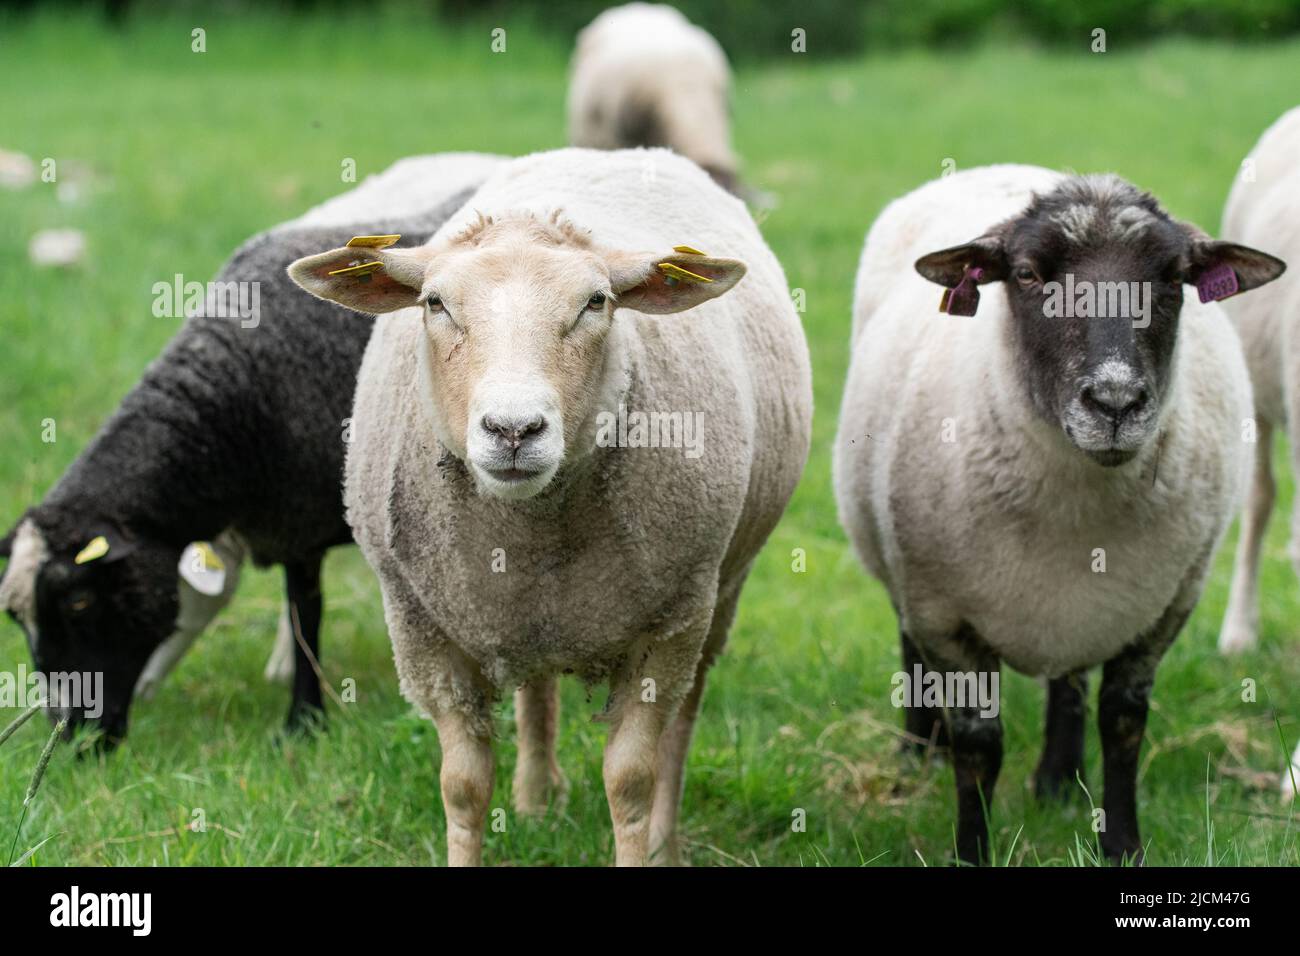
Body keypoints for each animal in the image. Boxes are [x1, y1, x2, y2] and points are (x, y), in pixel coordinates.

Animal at [0, 152, 506, 745]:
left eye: (79, 601)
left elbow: (305, 610)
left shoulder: (301, 524)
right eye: (17, 619)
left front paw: (303, 723)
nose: (70, 736)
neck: (239, 393)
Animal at [287, 146, 812, 865]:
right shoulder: (421, 630)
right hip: (525, 611)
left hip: (719, 591)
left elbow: (631, 780)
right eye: (434, 303)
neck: (531, 525)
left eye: (596, 303)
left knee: (684, 719)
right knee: (537, 688)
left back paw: (665, 842)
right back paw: (537, 800)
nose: (513, 430)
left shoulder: (669, 629)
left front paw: (640, 845)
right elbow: (461, 786)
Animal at [833, 164, 1286, 864]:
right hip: (897, 560)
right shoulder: (944, 614)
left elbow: (1123, 723)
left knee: (1068, 681)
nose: (1116, 402)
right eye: (1026, 274)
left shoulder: (1163, 609)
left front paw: (1121, 845)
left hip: (1083, 605)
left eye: (1172, 277)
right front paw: (972, 850)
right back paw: (917, 754)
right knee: (909, 645)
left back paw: (1058, 783)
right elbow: (979, 748)